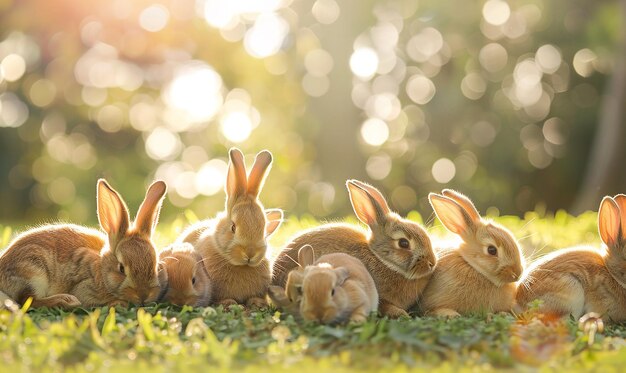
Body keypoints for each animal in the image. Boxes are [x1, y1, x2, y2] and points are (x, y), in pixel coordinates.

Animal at [0, 179, 167, 306]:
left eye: (156, 265)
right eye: (121, 269)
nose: (144, 295)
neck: (101, 269)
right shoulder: (84, 287)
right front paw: (118, 303)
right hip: (33, 271)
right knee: (29, 300)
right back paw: (66, 300)